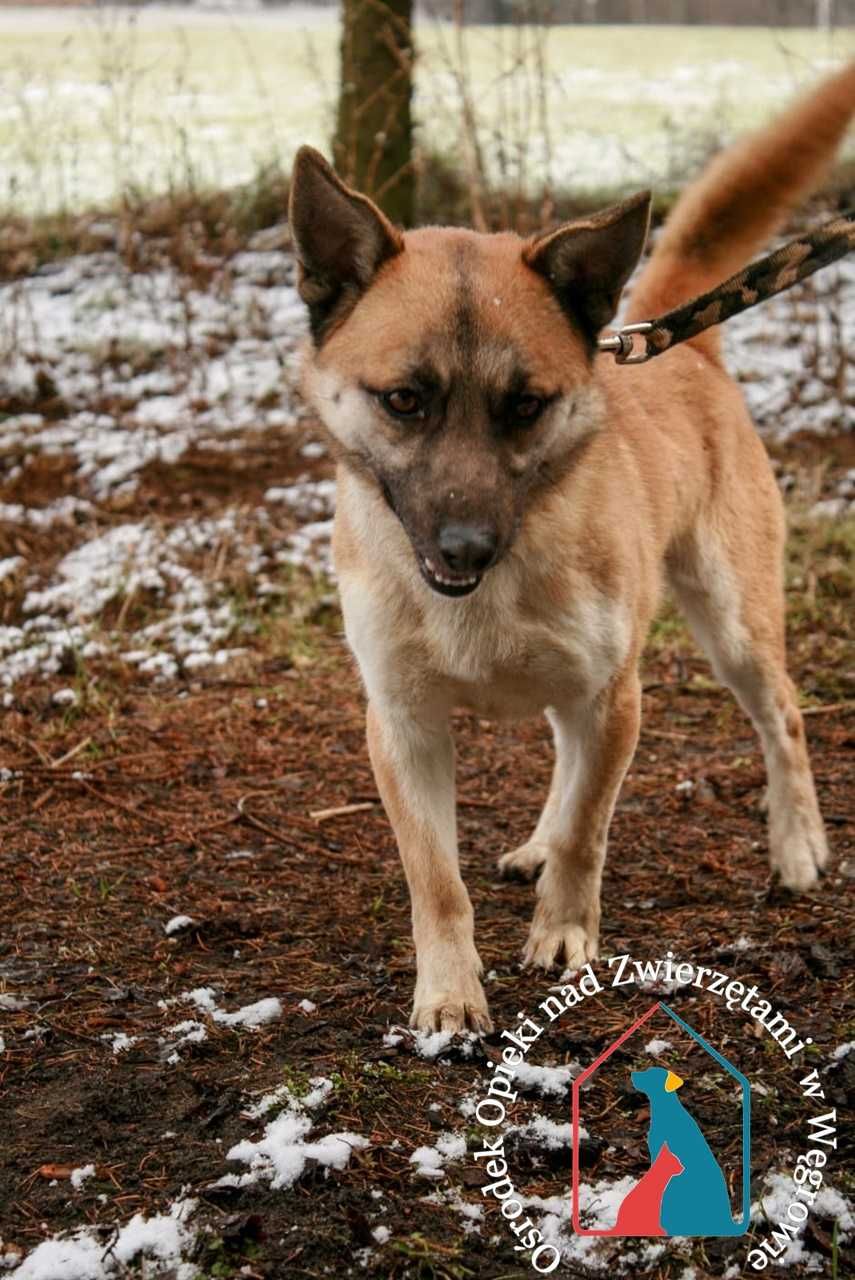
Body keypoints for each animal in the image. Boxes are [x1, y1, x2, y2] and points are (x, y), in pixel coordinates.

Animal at [289, 64, 855, 1034]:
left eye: (525, 404)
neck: (488, 593)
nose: (466, 546)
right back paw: (535, 842)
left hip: (730, 624)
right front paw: (449, 993)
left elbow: (592, 830)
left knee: (779, 715)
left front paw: (562, 933)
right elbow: (435, 880)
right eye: (403, 400)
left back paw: (796, 844)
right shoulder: (402, 725)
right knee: (561, 749)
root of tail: (677, 346)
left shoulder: (613, 698)